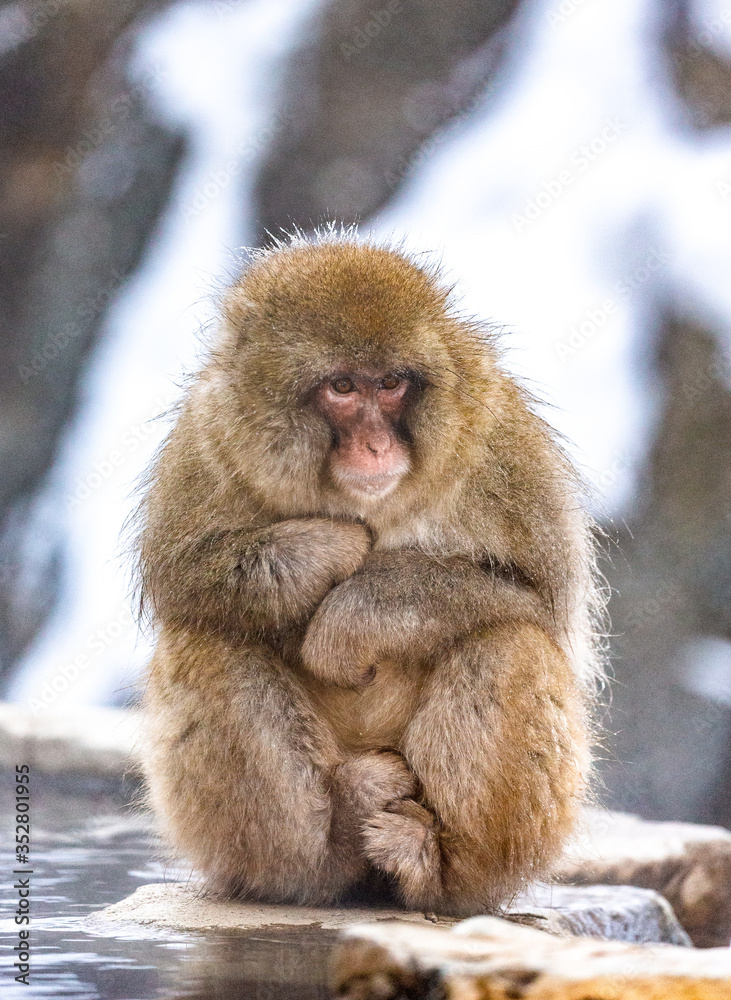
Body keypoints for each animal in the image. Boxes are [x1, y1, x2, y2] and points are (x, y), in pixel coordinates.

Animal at [137, 232, 602, 917]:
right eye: (341, 386)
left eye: (390, 384)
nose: (378, 446)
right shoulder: (208, 436)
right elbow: (186, 579)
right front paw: (328, 546)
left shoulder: (496, 437)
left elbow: (540, 597)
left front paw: (354, 618)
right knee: (203, 641)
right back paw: (322, 853)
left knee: (510, 642)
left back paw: (435, 869)